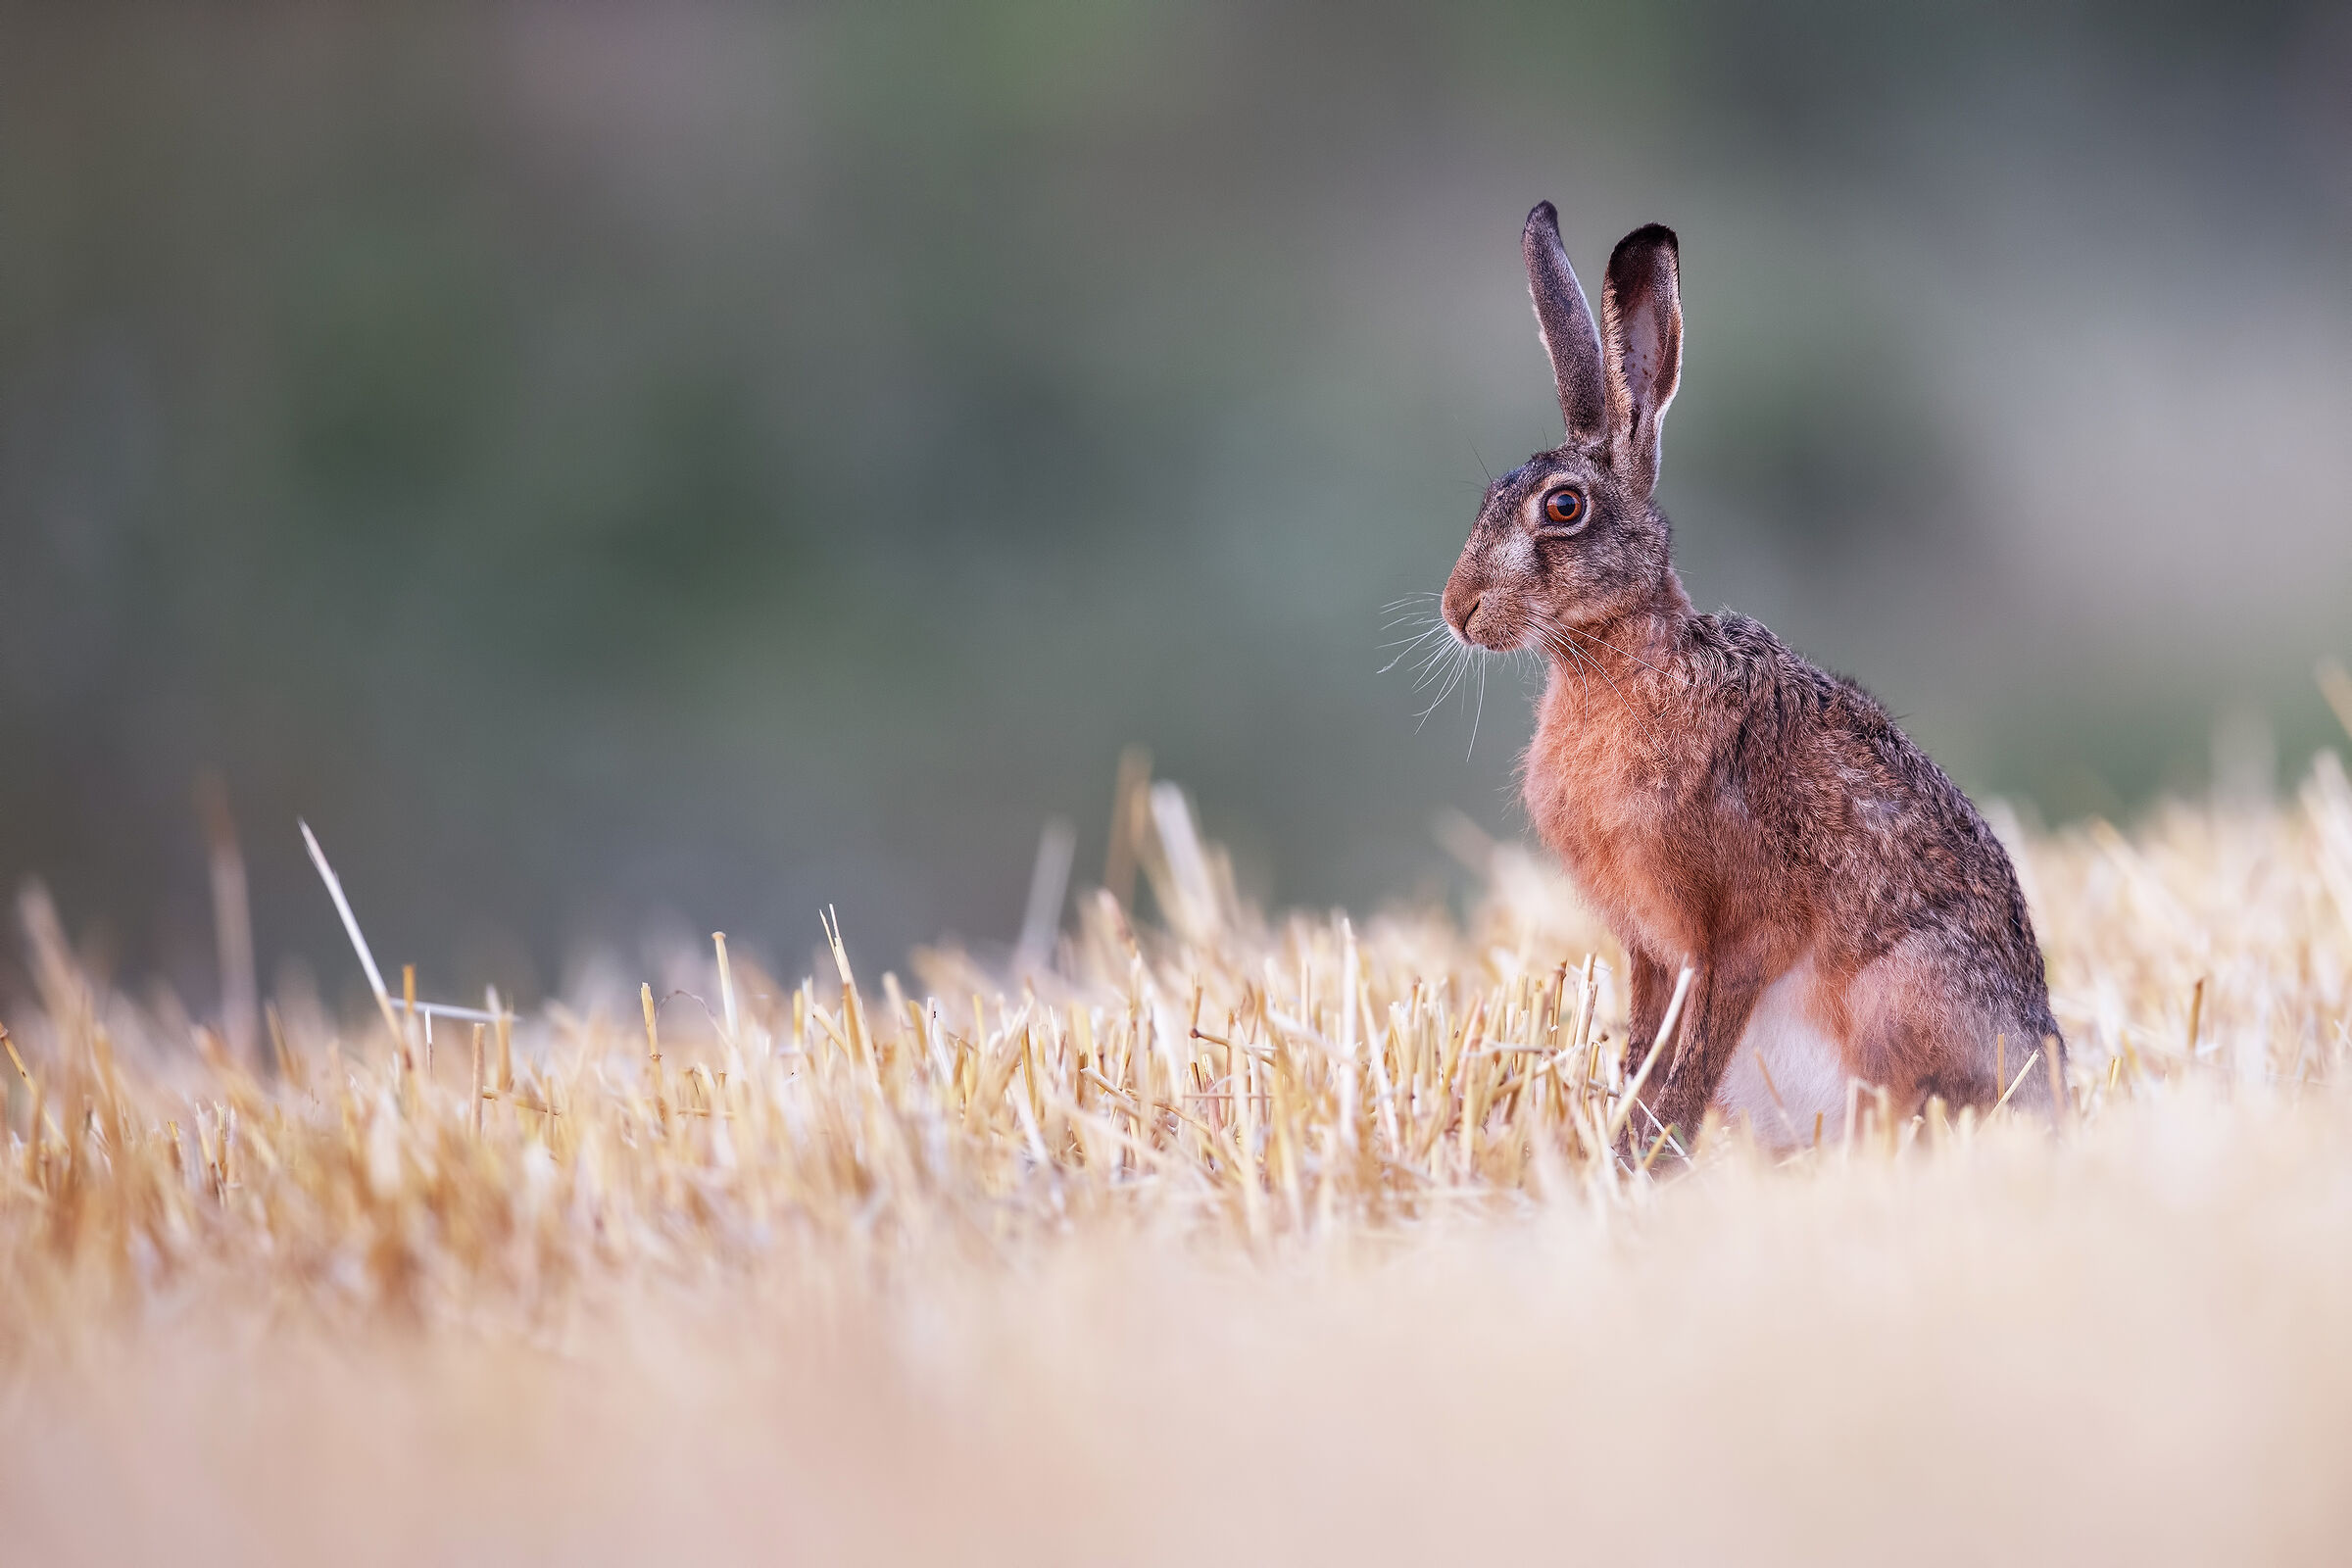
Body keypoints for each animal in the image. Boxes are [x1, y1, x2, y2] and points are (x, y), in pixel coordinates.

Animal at [1441, 202, 2063, 1151]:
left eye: (1562, 507)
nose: (1457, 608)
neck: (1616, 664)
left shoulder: (1735, 937)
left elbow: (1689, 1070)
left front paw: (1643, 1162)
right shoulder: (1651, 951)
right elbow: (1645, 1059)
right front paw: (1616, 1155)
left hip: (1897, 998)